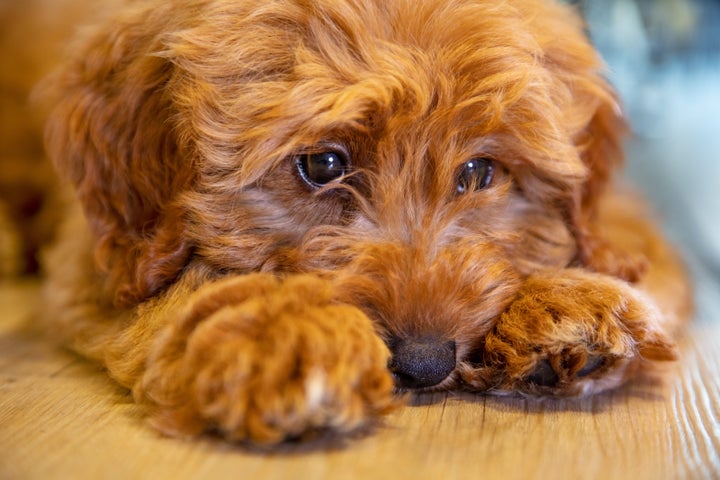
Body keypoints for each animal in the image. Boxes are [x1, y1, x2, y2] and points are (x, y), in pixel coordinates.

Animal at [35, 0, 692, 446]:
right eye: (323, 164)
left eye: (479, 171)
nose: (425, 363)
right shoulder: (97, 258)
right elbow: (178, 290)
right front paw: (285, 331)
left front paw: (565, 304)